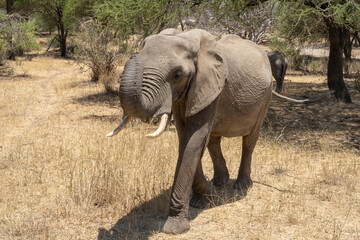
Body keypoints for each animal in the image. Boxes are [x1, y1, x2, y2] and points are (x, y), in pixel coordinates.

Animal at [106, 28, 320, 234]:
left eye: (177, 74)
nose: (132, 57)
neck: (186, 38)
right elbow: (186, 138)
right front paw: (203, 202)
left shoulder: (211, 85)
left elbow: (193, 139)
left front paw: (176, 227)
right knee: (214, 141)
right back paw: (219, 182)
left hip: (265, 96)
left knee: (249, 140)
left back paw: (241, 185)